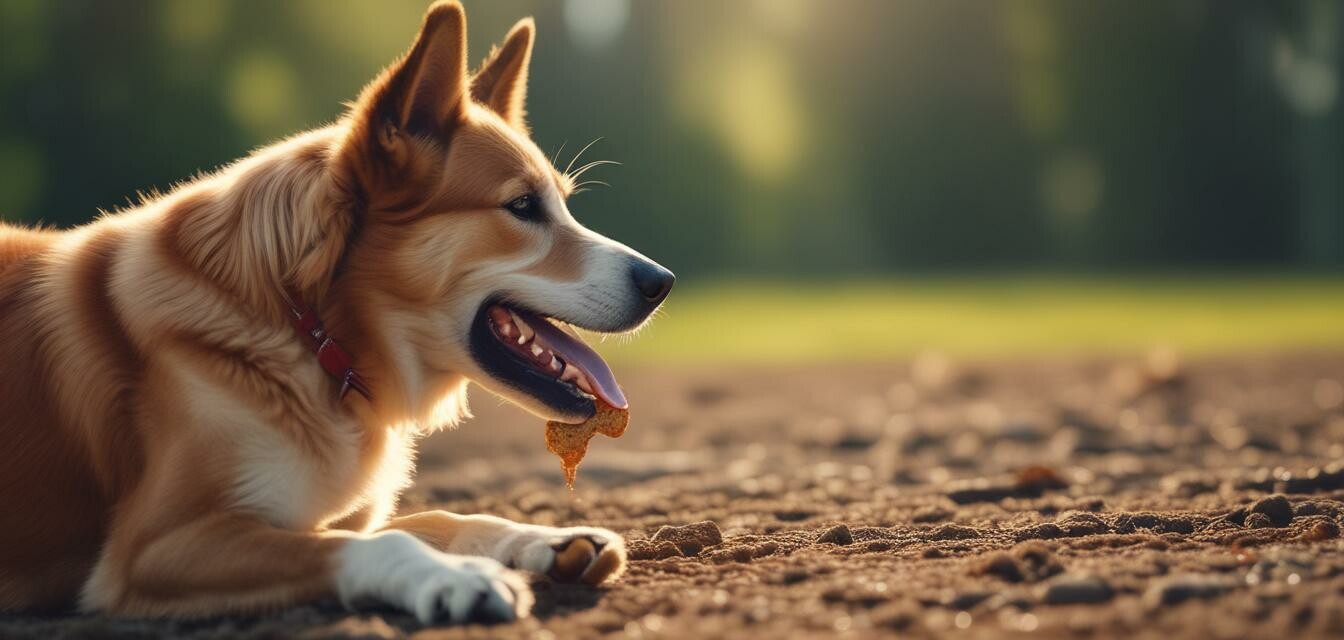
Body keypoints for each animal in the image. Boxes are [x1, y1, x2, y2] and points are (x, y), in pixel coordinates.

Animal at [0, 1, 672, 623]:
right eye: (523, 206)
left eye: (561, 202)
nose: (661, 283)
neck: (307, 328)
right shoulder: (154, 548)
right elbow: (379, 543)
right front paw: (458, 578)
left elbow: (440, 517)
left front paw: (549, 539)